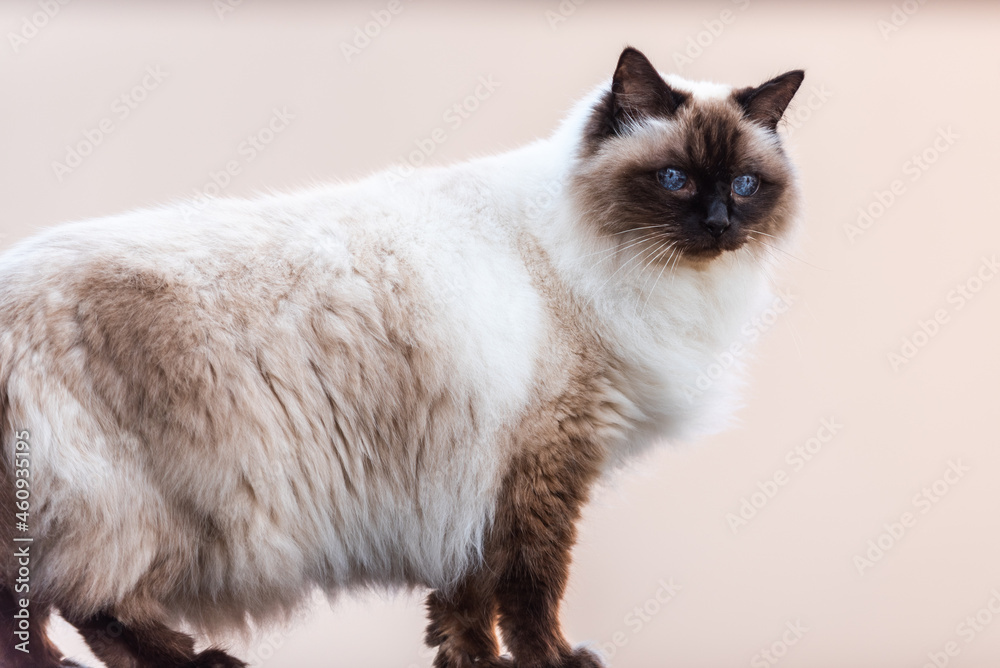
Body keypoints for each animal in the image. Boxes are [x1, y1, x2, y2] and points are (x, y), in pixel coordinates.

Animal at [0, 48, 800, 668]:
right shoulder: (542, 458)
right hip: (147, 512)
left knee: (36, 614)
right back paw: (201, 660)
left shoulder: (474, 478)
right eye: (675, 179)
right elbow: (532, 586)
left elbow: (467, 597)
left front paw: (473, 660)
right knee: (90, 601)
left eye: (745, 184)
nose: (719, 223)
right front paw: (549, 659)